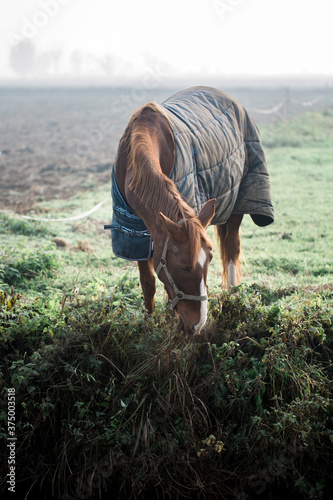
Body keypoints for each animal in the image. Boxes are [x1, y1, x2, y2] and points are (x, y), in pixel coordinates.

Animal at [105, 88, 272, 334]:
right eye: (184, 267)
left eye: (208, 261)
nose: (197, 324)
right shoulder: (134, 233)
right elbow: (148, 283)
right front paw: (149, 323)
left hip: (237, 204)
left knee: (232, 250)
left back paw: (233, 298)